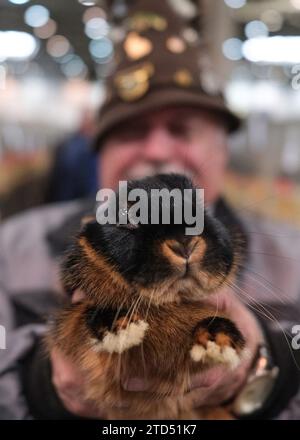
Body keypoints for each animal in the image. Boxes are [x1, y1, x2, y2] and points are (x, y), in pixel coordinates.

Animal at [47, 173, 247, 420]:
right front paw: (124, 330)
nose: (185, 243)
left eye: (201, 208)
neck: (168, 302)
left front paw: (219, 342)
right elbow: (86, 313)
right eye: (127, 216)